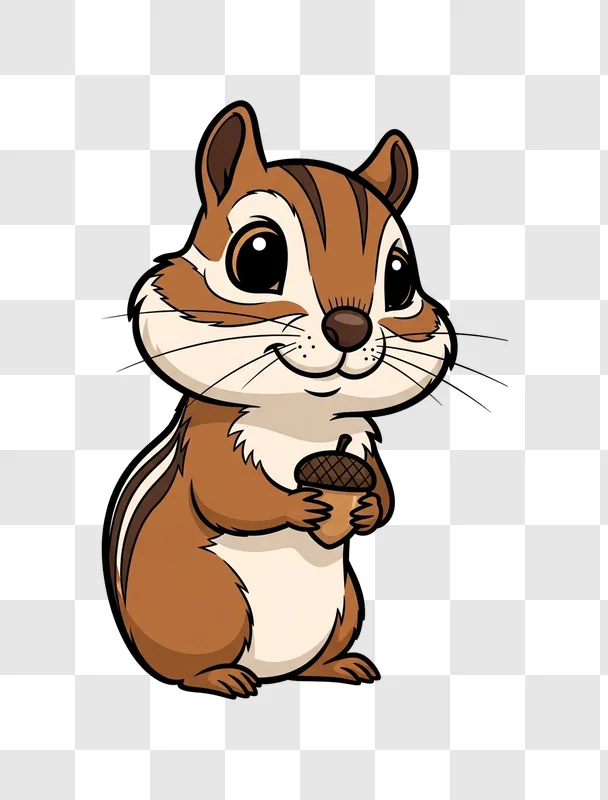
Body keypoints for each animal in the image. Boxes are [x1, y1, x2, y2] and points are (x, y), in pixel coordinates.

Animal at [102, 101, 457, 698]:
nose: (349, 326)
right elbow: (228, 494)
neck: (304, 419)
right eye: (258, 258)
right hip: (207, 602)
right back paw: (222, 677)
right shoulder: (215, 441)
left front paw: (365, 509)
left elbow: (384, 491)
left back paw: (338, 666)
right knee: (186, 670)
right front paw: (300, 505)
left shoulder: (360, 442)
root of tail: (274, 673)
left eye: (400, 277)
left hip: (348, 604)